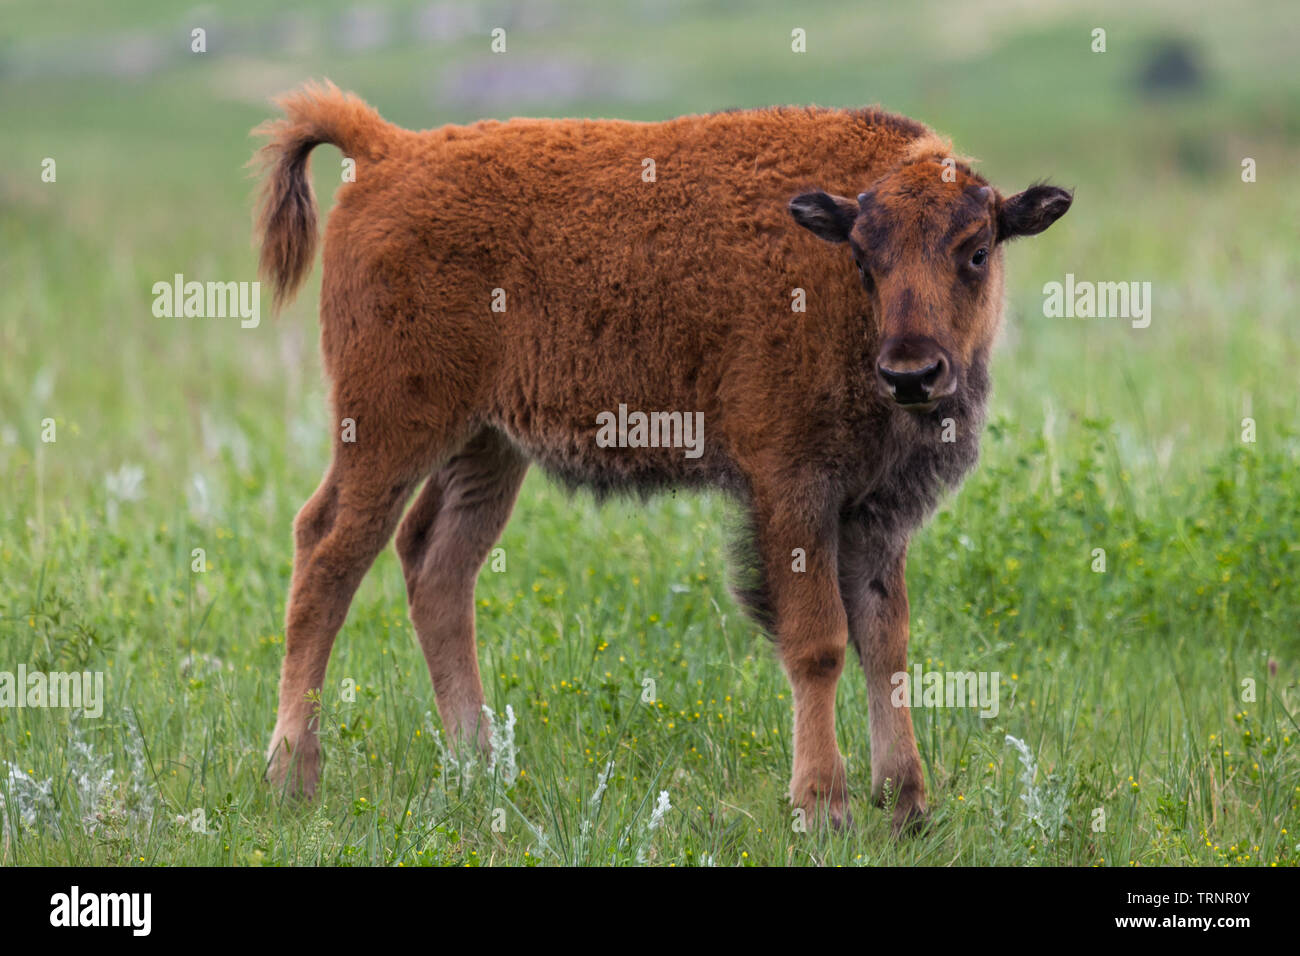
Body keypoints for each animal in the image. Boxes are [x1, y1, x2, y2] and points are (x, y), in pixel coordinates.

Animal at [250, 80, 1066, 832]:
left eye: (977, 251)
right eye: (866, 259)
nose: (912, 374)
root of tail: (388, 151)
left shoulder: (877, 510)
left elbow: (887, 643)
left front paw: (907, 807)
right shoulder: (793, 489)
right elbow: (820, 641)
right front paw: (821, 807)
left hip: (487, 445)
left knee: (437, 563)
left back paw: (480, 768)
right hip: (390, 429)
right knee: (327, 553)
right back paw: (293, 778)